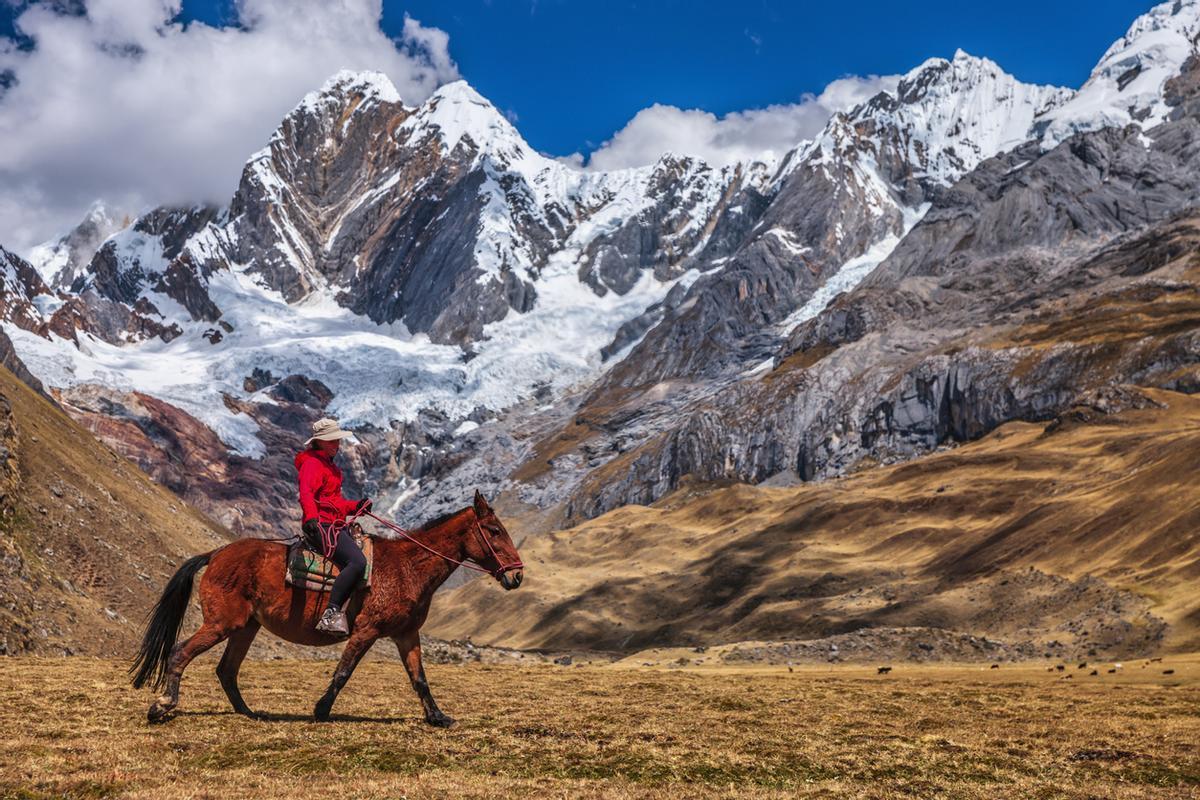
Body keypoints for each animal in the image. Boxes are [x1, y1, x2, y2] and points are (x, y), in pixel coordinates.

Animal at [129, 490, 523, 727]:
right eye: (493, 530)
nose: (517, 575)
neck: (407, 567)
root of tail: (216, 554)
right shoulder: (366, 630)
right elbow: (343, 672)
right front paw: (320, 710)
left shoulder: (406, 635)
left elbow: (420, 679)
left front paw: (439, 717)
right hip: (221, 623)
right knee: (181, 652)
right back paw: (162, 706)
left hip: (246, 628)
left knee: (226, 670)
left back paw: (250, 714)